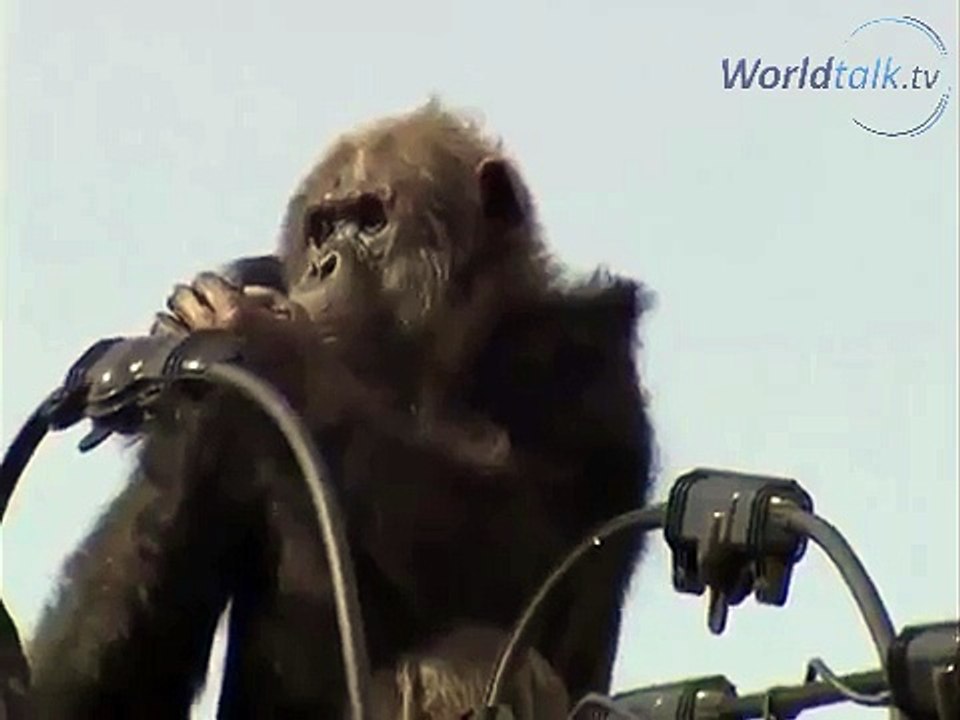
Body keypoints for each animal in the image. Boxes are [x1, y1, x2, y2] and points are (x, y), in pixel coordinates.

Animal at [25, 100, 656, 719]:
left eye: (372, 219)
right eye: (323, 227)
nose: (325, 263)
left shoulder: (590, 367)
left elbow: (525, 558)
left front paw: (254, 340)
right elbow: (102, 681)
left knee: (469, 652)